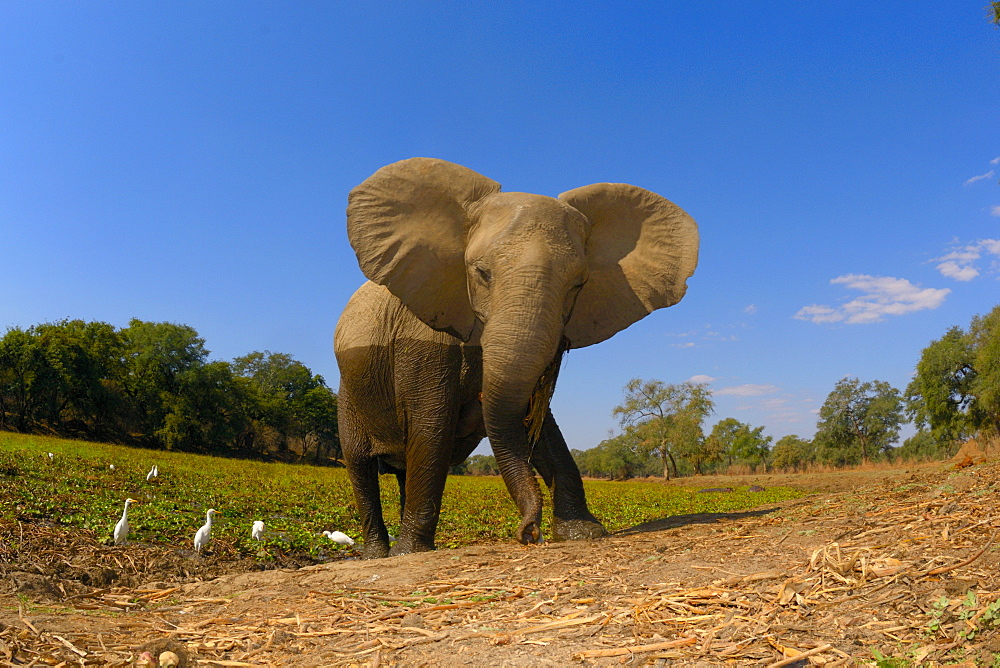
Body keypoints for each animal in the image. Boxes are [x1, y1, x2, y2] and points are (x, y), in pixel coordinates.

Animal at [334, 158, 696, 560]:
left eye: (577, 285)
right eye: (481, 273)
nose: (528, 532)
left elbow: (538, 424)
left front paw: (583, 533)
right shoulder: (422, 332)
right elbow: (431, 427)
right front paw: (409, 554)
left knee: (400, 469)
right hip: (348, 394)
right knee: (361, 466)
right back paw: (378, 554)